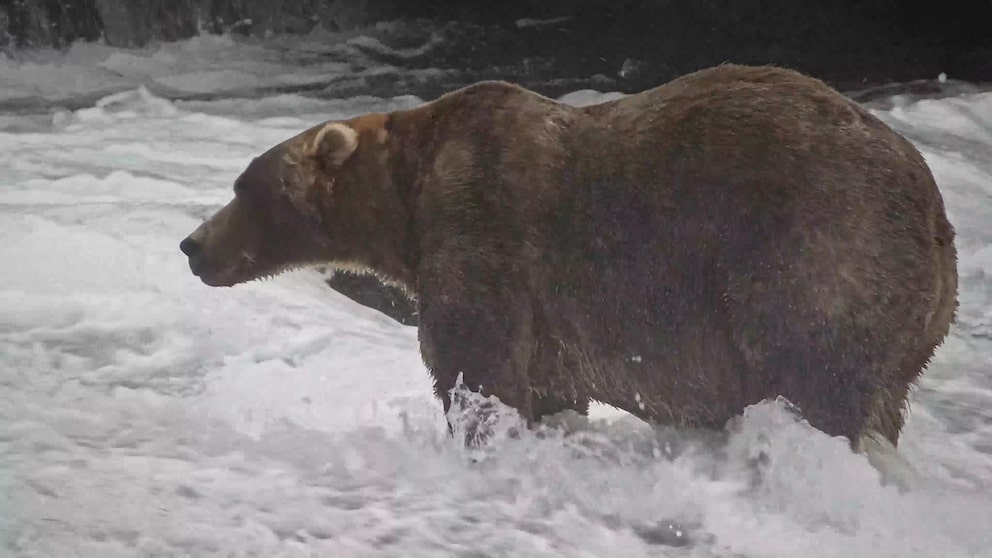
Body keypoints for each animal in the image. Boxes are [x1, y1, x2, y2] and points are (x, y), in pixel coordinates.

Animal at [179, 63, 958, 450]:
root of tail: (936, 212)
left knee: (815, 374)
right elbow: (549, 385)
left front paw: (478, 433)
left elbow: (474, 363)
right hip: (912, 321)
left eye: (245, 187)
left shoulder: (483, 228)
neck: (406, 201)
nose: (192, 245)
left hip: (815, 250)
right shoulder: (551, 318)